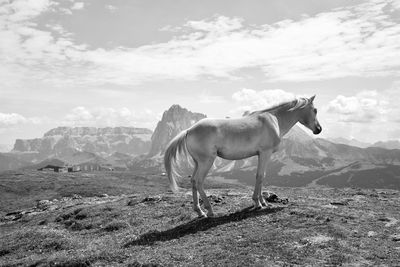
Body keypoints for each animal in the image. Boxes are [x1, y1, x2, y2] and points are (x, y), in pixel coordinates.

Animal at [162, 96, 322, 218]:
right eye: (315, 110)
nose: (319, 129)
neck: (274, 119)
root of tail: (189, 130)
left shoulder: (261, 155)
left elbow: (261, 176)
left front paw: (263, 202)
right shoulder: (265, 153)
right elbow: (260, 176)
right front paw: (258, 203)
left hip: (197, 163)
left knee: (193, 181)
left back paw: (199, 211)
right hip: (206, 162)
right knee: (199, 181)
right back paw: (210, 211)